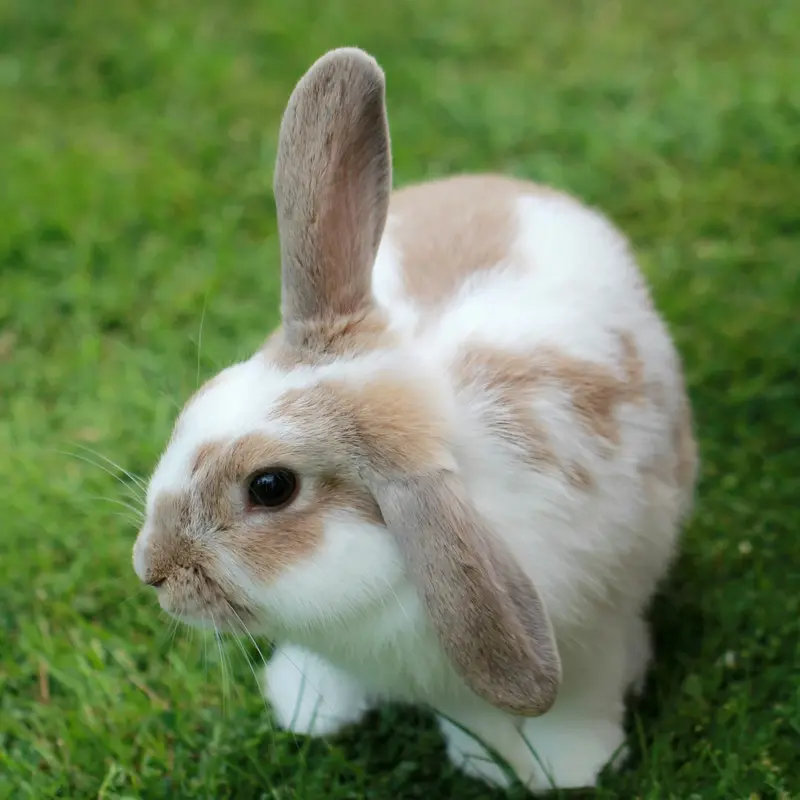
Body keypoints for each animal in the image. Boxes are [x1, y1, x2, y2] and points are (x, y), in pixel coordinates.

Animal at [131, 47, 698, 793]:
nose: (151, 569)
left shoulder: (588, 635)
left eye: (270, 488)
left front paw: (566, 767)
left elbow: (572, 704)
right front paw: (309, 707)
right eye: (202, 401)